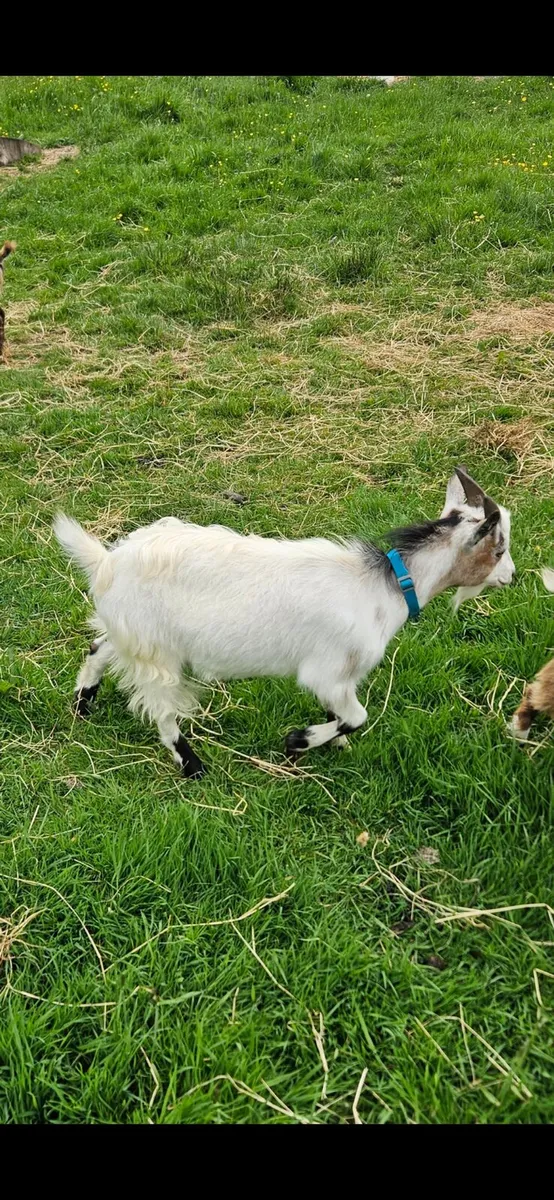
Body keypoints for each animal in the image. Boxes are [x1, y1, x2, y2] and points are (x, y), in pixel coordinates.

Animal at [54, 467, 515, 780]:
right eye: (498, 549)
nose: (511, 576)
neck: (384, 588)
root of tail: (106, 563)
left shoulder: (338, 680)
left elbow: (341, 714)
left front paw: (334, 742)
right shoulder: (328, 671)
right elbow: (357, 715)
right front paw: (299, 742)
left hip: (133, 633)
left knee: (98, 648)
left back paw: (83, 703)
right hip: (156, 653)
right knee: (162, 711)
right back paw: (192, 764)